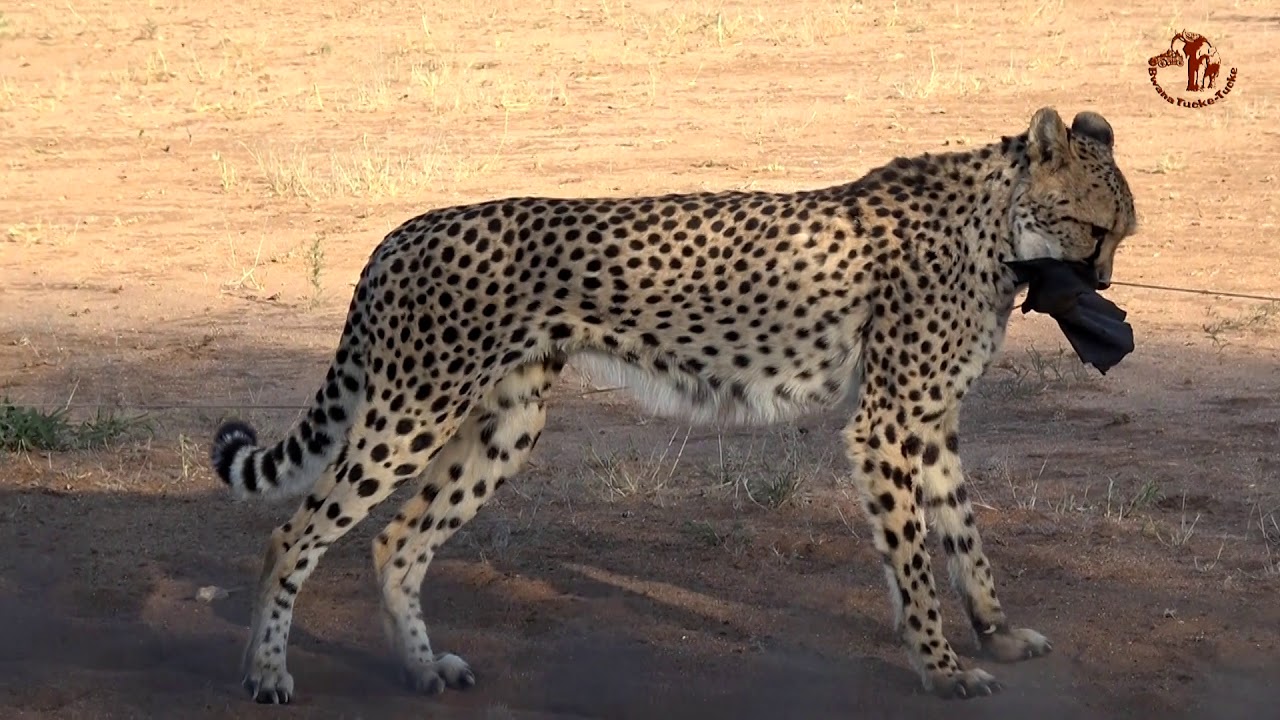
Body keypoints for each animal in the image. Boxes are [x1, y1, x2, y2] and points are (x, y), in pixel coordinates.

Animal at [209, 106, 1137, 704]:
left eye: (1122, 235)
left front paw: (996, 633)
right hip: (414, 407)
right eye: (1095, 230)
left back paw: (422, 670)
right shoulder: (887, 425)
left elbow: (965, 537)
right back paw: (265, 674)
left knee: (398, 540)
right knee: (293, 534)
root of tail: (400, 232)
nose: (1102, 287)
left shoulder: (932, 424)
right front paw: (941, 669)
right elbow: (913, 561)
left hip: (506, 423)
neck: (996, 227)